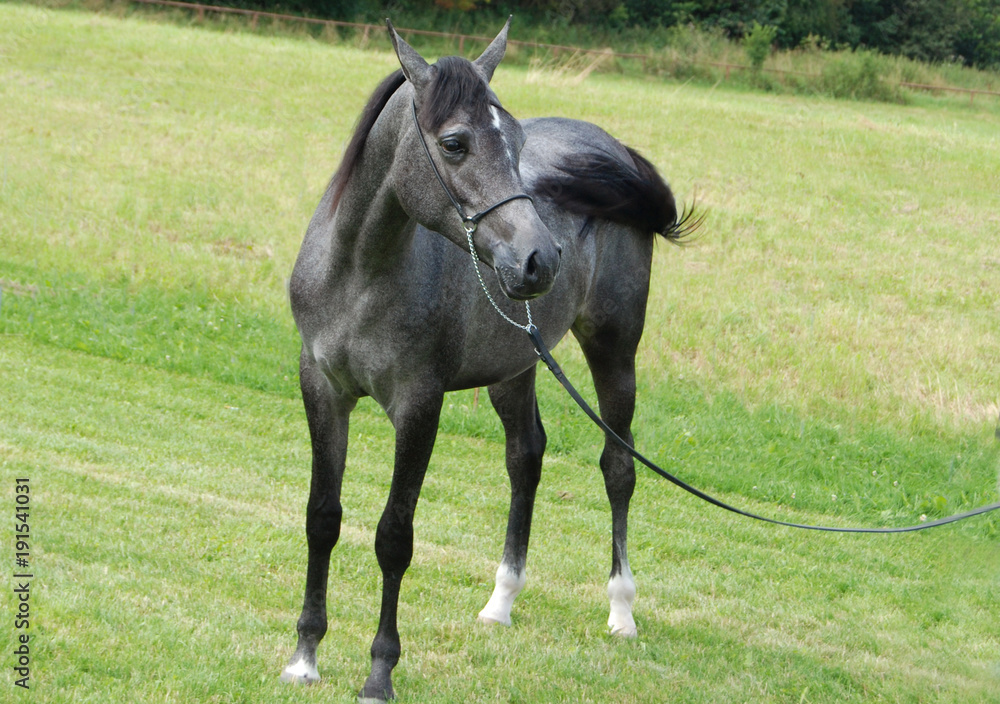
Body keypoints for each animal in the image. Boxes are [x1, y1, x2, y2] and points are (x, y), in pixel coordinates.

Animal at [281, 19, 699, 702]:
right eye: (454, 143)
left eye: (517, 140)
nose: (540, 259)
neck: (360, 274)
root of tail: (610, 149)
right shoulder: (322, 389)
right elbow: (323, 518)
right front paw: (304, 656)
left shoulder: (418, 406)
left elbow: (394, 538)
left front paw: (379, 673)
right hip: (516, 368)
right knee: (525, 457)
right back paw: (500, 602)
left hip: (613, 350)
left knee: (618, 467)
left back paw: (621, 611)